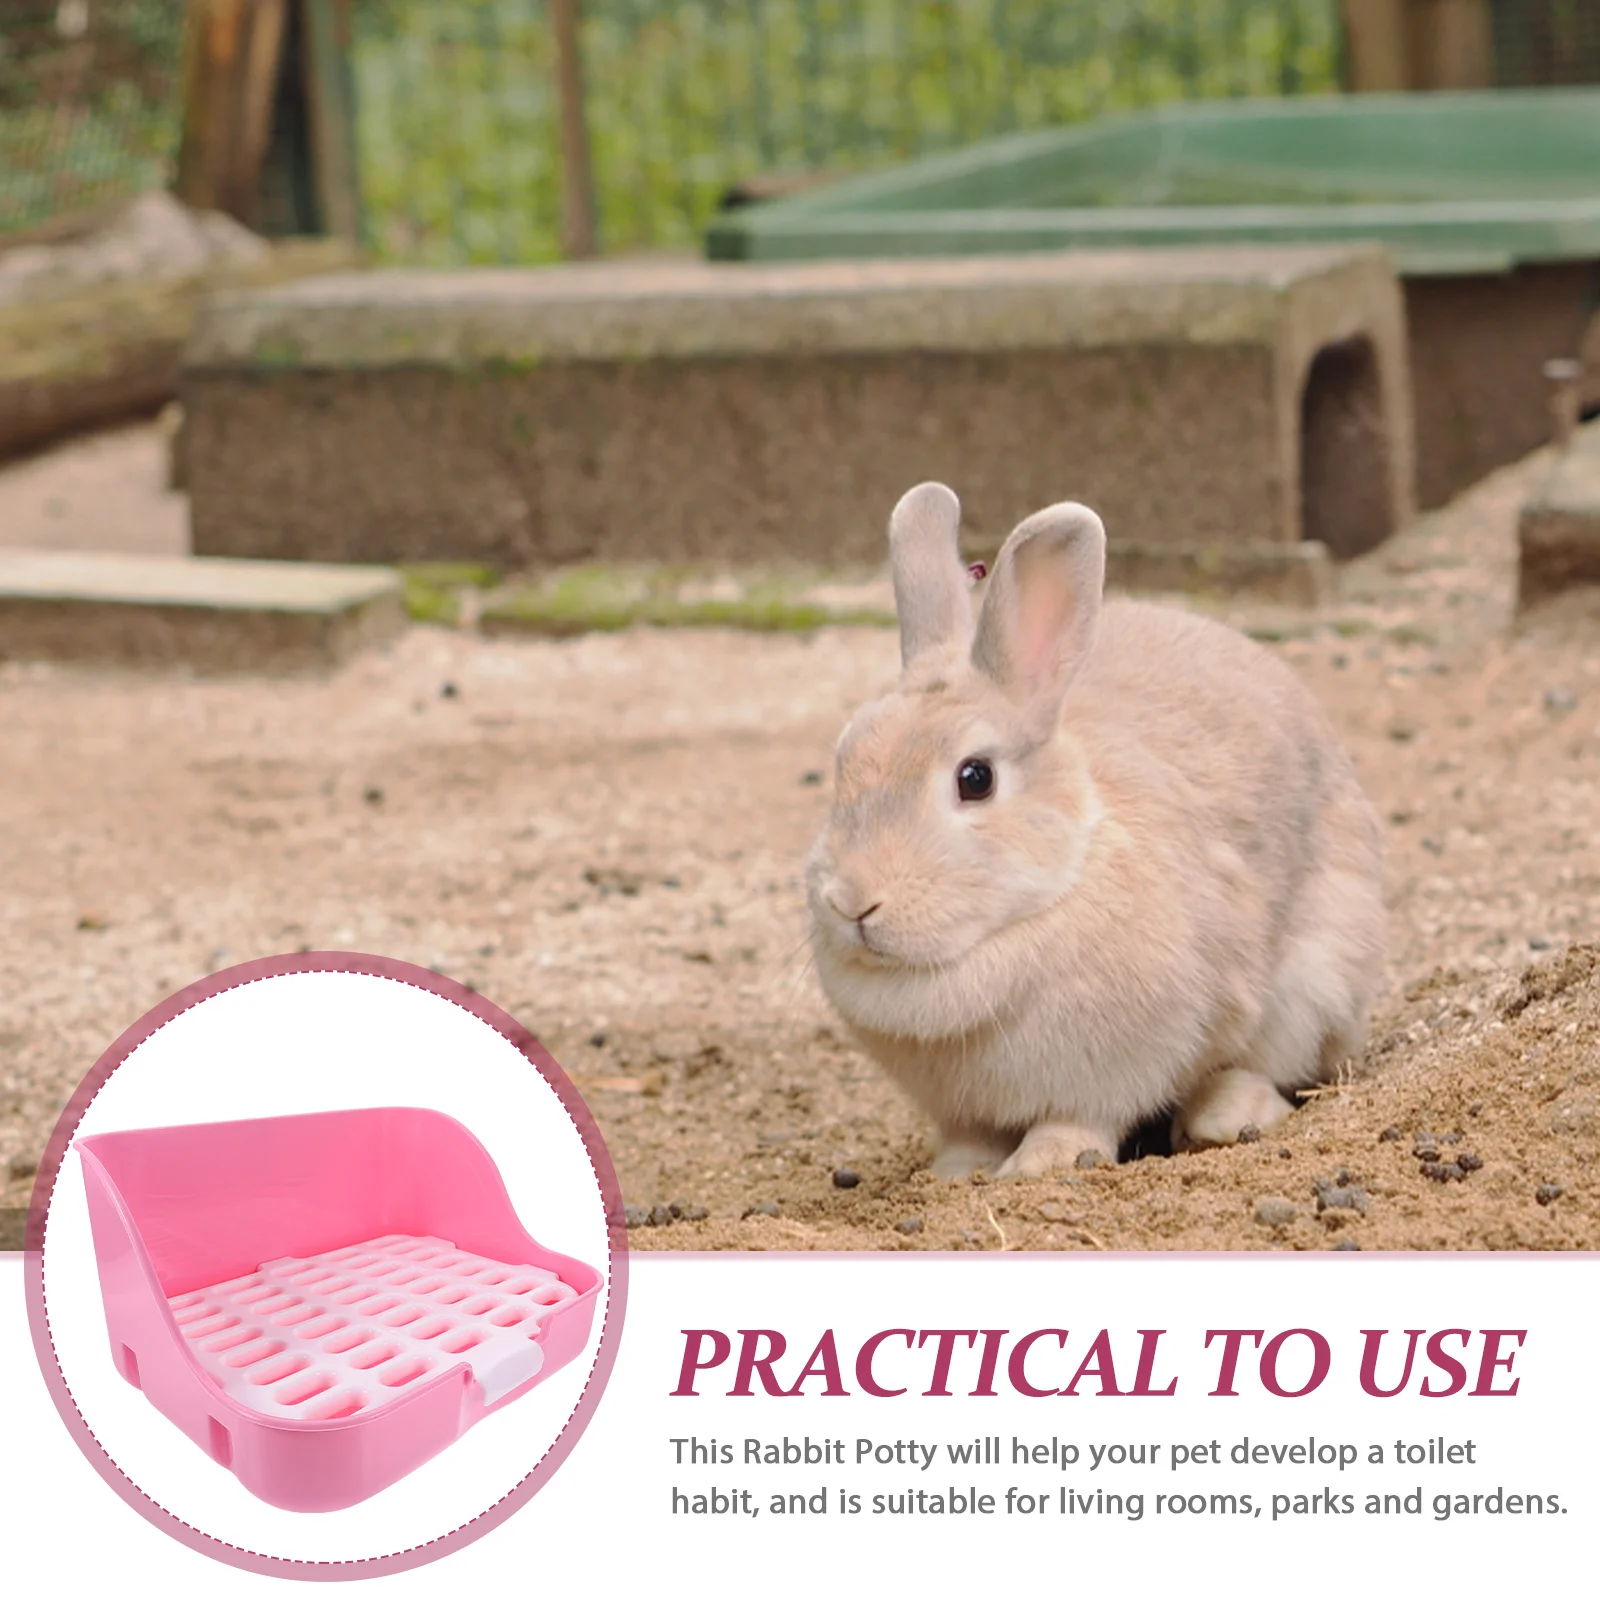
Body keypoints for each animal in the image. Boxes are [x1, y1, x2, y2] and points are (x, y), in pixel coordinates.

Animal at [806, 482, 1385, 1180]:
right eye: (844, 754)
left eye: (975, 778)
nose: (851, 901)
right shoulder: (961, 1108)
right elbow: (970, 1137)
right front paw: (954, 1174)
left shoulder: (1113, 1070)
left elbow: (1079, 1119)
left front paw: (1039, 1166)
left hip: (1313, 985)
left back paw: (1224, 1117)